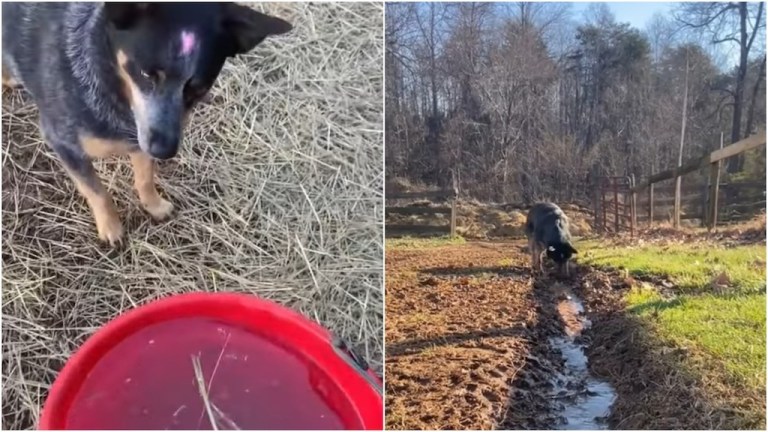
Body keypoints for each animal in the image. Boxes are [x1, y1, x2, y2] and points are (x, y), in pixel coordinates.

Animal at [2, 2, 292, 246]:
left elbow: (145, 177)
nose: (165, 150)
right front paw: (111, 228)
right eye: (145, 73)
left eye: (199, 87)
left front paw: (154, 205)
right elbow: (97, 191)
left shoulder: (144, 137)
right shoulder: (64, 143)